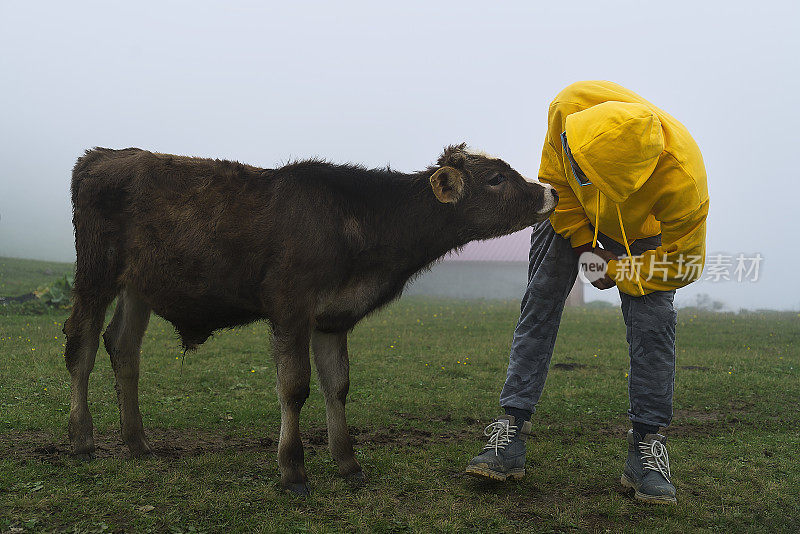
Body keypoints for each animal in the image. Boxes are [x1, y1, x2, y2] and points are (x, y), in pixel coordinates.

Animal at [62, 144, 556, 496]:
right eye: (496, 178)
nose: (549, 192)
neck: (358, 224)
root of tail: (102, 155)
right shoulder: (291, 309)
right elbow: (295, 388)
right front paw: (293, 469)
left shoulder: (332, 319)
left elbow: (337, 387)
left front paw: (348, 463)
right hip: (95, 273)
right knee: (80, 347)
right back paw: (82, 440)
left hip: (138, 285)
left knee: (122, 347)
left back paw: (137, 442)